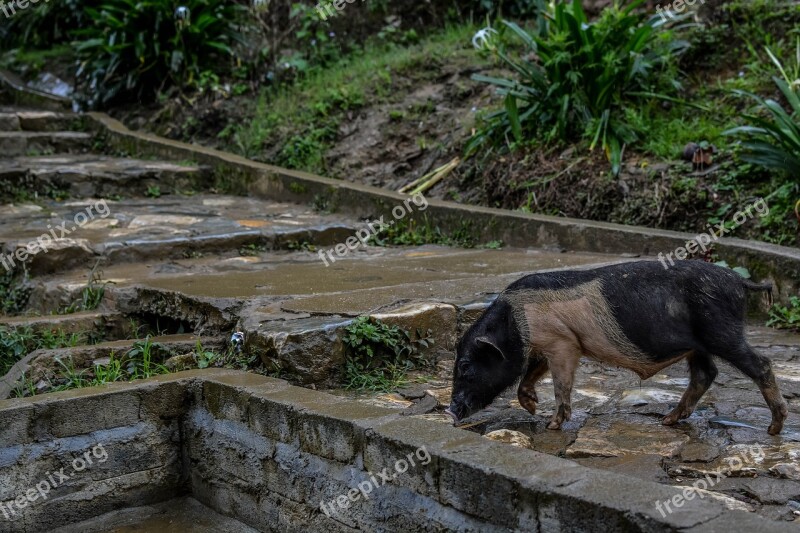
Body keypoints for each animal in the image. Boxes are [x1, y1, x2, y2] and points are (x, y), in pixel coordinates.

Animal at [446, 260, 792, 434]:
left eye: (465, 366)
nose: (451, 411)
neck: (515, 323)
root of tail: (739, 281)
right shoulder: (549, 344)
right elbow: (530, 373)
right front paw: (531, 405)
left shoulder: (563, 343)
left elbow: (561, 383)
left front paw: (551, 424)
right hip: (700, 345)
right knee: (705, 374)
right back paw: (668, 420)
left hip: (722, 331)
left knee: (761, 363)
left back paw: (774, 428)